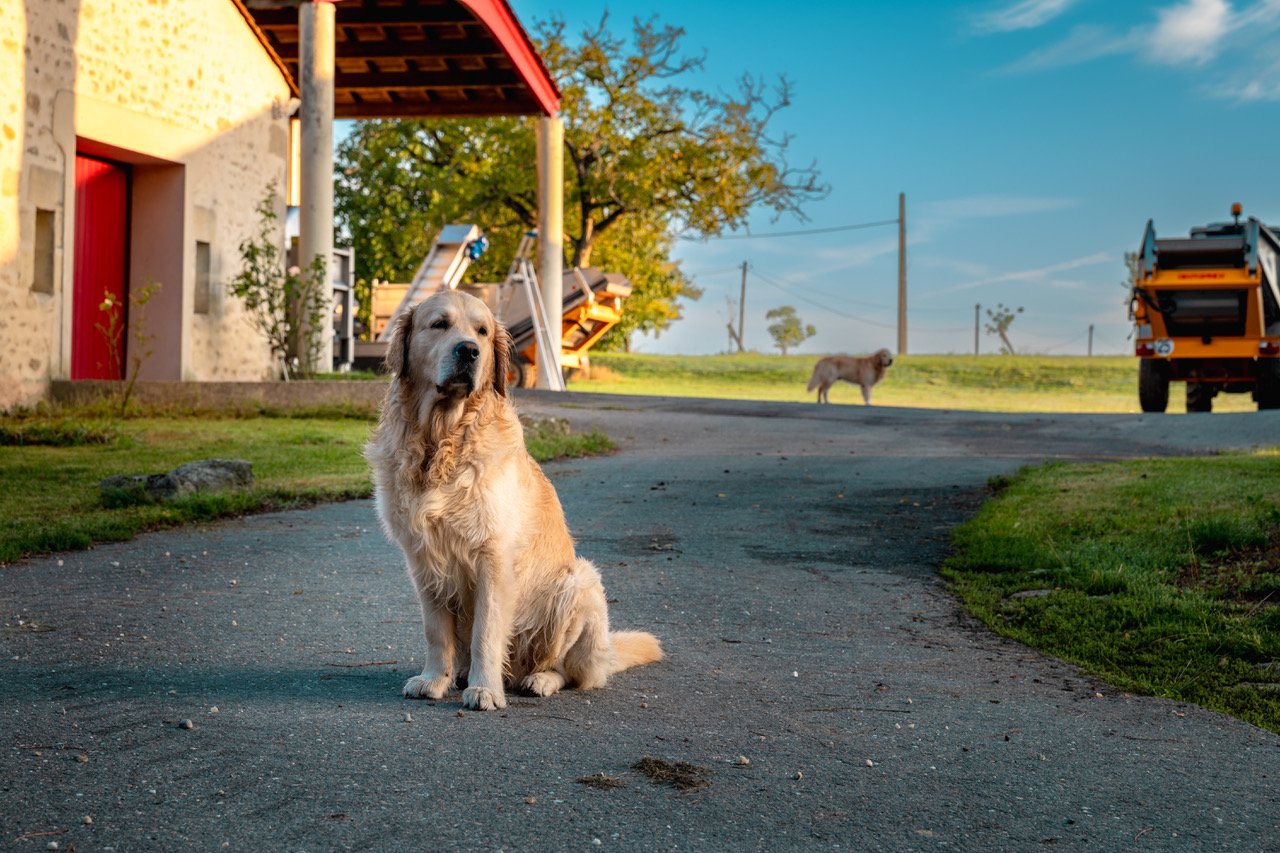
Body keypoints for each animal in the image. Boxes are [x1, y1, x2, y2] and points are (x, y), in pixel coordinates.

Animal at [360, 289, 660, 706]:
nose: (469, 351)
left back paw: (538, 680)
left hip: (579, 583)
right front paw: (434, 679)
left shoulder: (493, 556)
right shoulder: (423, 558)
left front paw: (485, 689)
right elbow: (435, 632)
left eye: (483, 332)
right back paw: (462, 675)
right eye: (439, 324)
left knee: (570, 671)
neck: (441, 441)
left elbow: (487, 632)